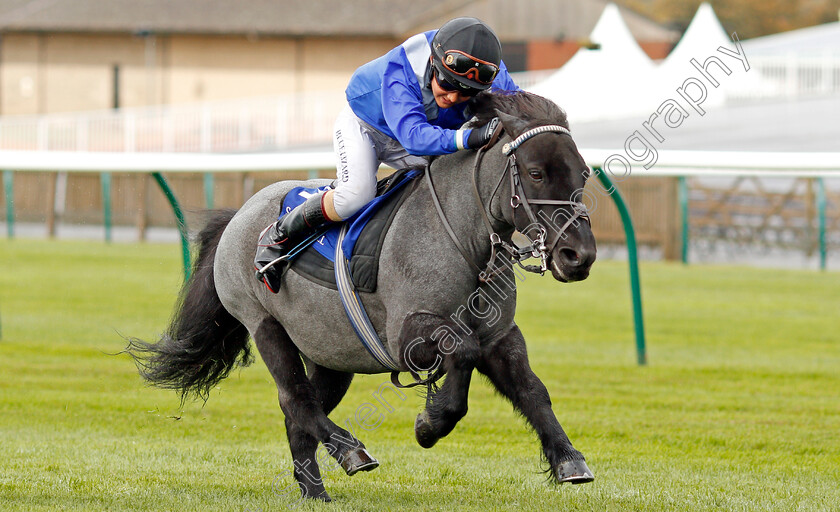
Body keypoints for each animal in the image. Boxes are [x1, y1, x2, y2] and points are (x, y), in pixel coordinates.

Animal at [128, 90, 596, 502]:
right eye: (536, 172)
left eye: (584, 173)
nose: (580, 255)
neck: (462, 237)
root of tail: (239, 215)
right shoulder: (408, 335)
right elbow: (461, 353)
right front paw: (430, 424)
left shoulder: (500, 335)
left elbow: (532, 390)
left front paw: (568, 459)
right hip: (264, 324)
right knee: (296, 400)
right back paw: (351, 451)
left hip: (331, 353)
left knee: (301, 411)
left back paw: (315, 490)